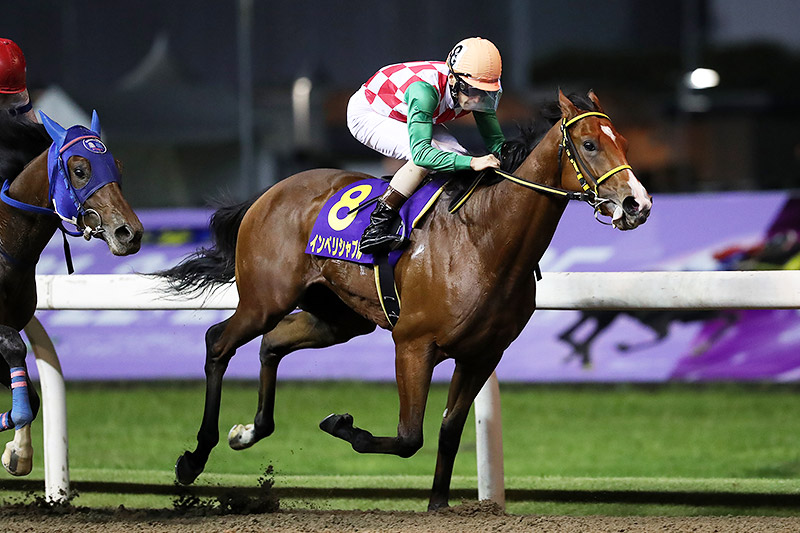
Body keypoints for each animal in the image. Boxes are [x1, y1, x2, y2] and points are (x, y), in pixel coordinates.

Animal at [0, 111, 143, 477]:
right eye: (80, 170)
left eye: (117, 165)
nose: (130, 233)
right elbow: (15, 347)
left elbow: (34, 399)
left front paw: (18, 452)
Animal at [156, 90, 652, 510]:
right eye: (589, 144)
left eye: (625, 142)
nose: (638, 204)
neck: (485, 239)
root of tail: (270, 192)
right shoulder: (414, 344)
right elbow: (410, 435)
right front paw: (342, 425)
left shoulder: (483, 354)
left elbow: (450, 430)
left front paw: (438, 505)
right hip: (265, 299)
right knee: (219, 342)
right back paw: (194, 459)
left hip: (338, 317)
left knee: (272, 342)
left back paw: (249, 431)